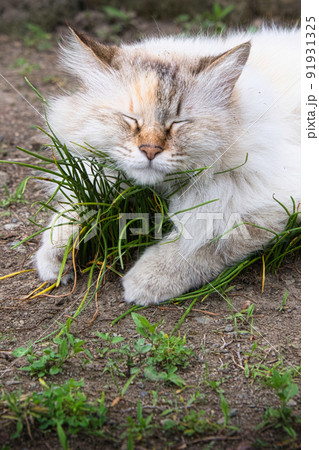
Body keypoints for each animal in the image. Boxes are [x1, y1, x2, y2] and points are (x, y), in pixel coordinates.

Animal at [35, 25, 302, 306]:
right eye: (130, 119)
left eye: (178, 123)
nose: (150, 150)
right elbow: (71, 213)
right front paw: (55, 259)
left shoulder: (259, 199)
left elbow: (201, 245)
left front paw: (145, 281)